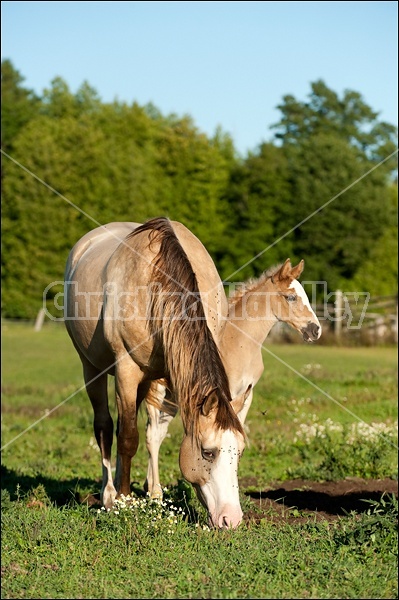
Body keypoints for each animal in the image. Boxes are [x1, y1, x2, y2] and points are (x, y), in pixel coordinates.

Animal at [65, 218, 247, 528]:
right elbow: (128, 438)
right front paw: (124, 501)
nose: (230, 520)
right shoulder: (126, 370)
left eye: (241, 452)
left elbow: (150, 433)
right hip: (92, 367)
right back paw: (109, 493)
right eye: (208, 452)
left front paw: (152, 494)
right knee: (105, 427)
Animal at [144, 254, 322, 496]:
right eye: (291, 297)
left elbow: (237, 431)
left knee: (157, 431)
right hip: (159, 391)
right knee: (152, 435)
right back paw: (155, 492)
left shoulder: (245, 395)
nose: (316, 330)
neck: (239, 343)